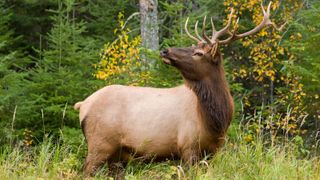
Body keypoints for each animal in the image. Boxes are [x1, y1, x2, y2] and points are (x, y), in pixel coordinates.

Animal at [74, 1, 282, 176]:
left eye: (198, 53)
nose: (165, 50)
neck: (215, 121)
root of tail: (83, 104)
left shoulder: (213, 152)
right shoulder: (188, 147)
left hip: (118, 155)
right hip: (99, 144)